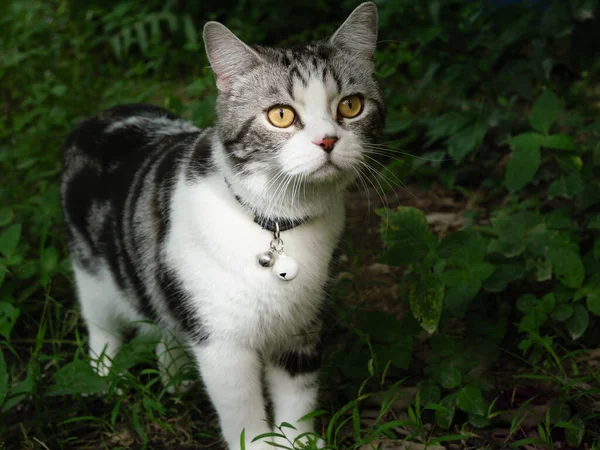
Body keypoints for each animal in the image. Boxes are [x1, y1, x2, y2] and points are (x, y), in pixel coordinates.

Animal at [61, 1, 384, 448]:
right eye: (281, 115)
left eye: (351, 106)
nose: (328, 140)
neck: (276, 220)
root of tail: (100, 115)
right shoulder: (221, 340)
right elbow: (240, 404)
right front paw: (259, 442)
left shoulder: (302, 324)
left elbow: (297, 390)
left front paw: (296, 439)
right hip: (92, 270)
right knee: (102, 323)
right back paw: (107, 376)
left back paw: (174, 375)